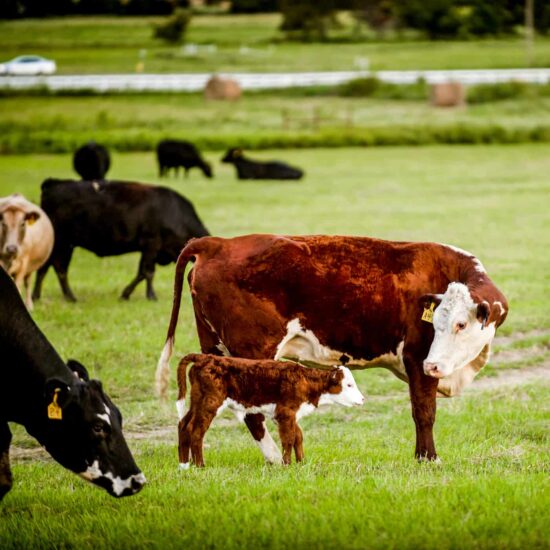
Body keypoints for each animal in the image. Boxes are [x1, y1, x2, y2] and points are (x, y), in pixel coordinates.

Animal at [31, 180, 211, 302]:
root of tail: (53, 183)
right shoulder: (151, 243)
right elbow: (148, 272)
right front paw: (151, 295)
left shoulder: (148, 249)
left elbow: (141, 273)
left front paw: (126, 294)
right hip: (59, 242)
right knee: (51, 267)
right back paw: (47, 296)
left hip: (65, 244)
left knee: (56, 268)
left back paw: (58, 296)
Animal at [177, 354, 366, 470]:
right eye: (349, 384)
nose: (363, 399)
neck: (305, 381)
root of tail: (205, 357)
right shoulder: (286, 413)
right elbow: (289, 438)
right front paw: (287, 465)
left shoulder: (287, 415)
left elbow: (298, 436)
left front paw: (301, 462)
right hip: (210, 403)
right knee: (196, 431)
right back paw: (200, 465)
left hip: (197, 401)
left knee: (184, 425)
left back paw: (185, 465)